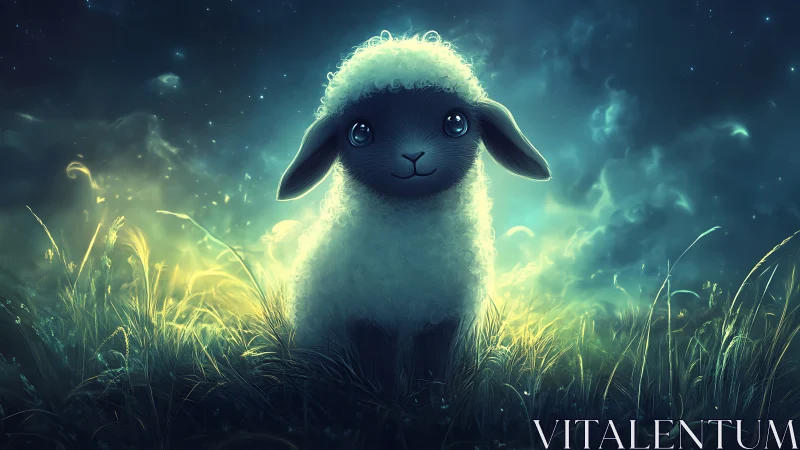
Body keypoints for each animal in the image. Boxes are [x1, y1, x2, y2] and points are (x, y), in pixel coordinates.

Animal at [276, 30, 551, 392]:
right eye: (359, 132)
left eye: (456, 123)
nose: (413, 155)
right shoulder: (366, 315)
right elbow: (377, 366)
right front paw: (384, 397)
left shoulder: (443, 318)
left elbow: (433, 365)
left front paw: (433, 397)